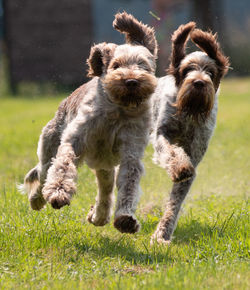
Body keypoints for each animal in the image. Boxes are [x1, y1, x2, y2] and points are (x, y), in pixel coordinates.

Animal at [19, 12, 157, 234]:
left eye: (143, 65)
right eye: (116, 65)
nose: (131, 81)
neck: (118, 111)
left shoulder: (131, 153)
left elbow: (129, 184)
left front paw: (125, 218)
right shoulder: (75, 139)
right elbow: (63, 166)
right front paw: (59, 193)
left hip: (105, 167)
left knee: (105, 193)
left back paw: (98, 217)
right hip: (49, 149)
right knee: (43, 174)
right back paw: (37, 200)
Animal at [149, 22, 229, 244]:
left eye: (210, 71)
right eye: (187, 70)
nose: (199, 83)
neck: (189, 111)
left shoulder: (195, 152)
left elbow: (174, 202)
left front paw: (162, 233)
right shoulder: (162, 134)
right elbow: (172, 153)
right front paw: (180, 168)